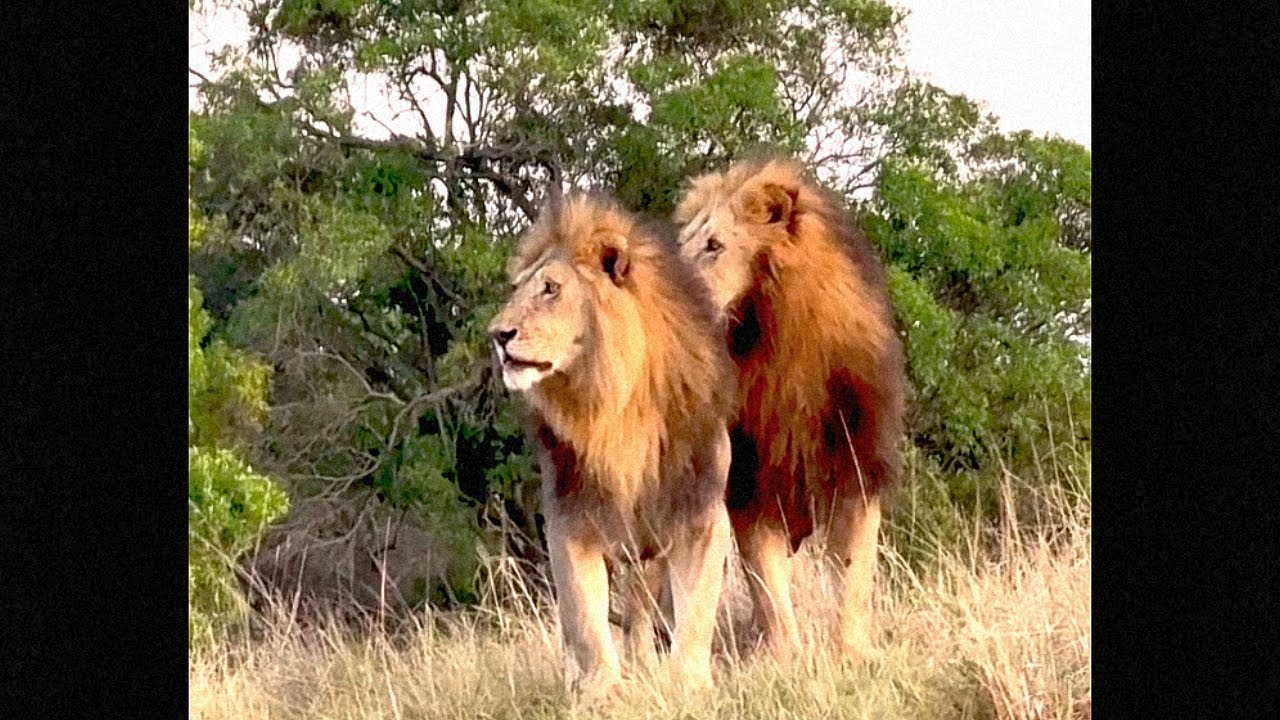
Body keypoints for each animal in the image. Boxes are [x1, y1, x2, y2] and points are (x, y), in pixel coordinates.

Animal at [488, 191, 736, 696]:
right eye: (519, 288)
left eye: (551, 289)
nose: (498, 336)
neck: (614, 405)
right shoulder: (571, 516)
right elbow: (584, 618)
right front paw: (598, 691)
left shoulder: (700, 510)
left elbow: (697, 608)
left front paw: (688, 684)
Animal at [672, 156, 906, 661]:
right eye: (684, 244)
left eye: (714, 245)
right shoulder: (750, 484)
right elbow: (768, 587)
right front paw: (786, 659)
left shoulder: (856, 469)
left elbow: (854, 575)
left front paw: (853, 653)